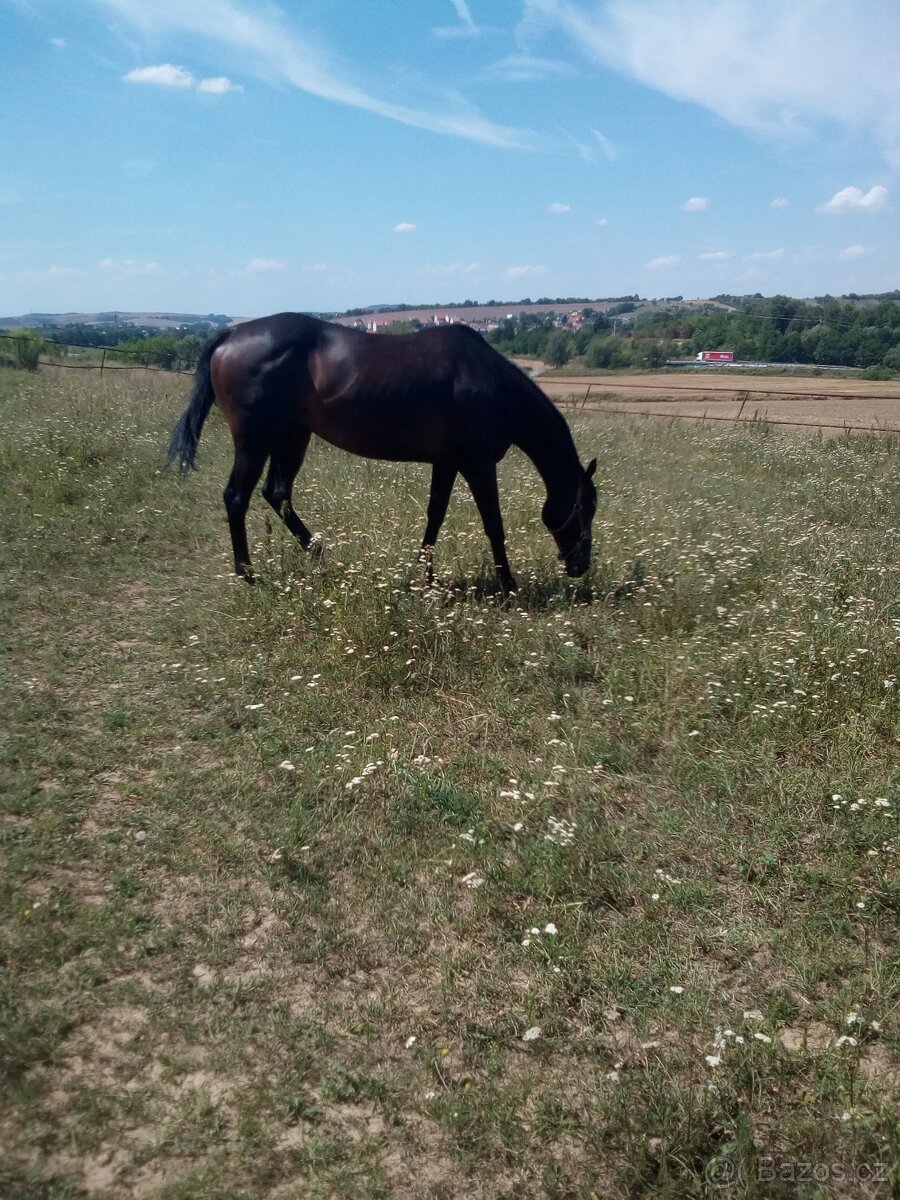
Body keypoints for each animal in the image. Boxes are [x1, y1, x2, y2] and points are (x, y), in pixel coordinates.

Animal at [169, 309, 600, 590]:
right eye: (586, 508)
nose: (581, 566)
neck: (493, 385)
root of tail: (229, 335)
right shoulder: (477, 464)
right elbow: (493, 524)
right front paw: (508, 584)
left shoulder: (446, 462)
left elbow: (435, 517)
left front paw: (425, 579)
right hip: (255, 441)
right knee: (236, 497)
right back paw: (248, 574)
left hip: (292, 436)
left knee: (277, 494)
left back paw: (322, 558)